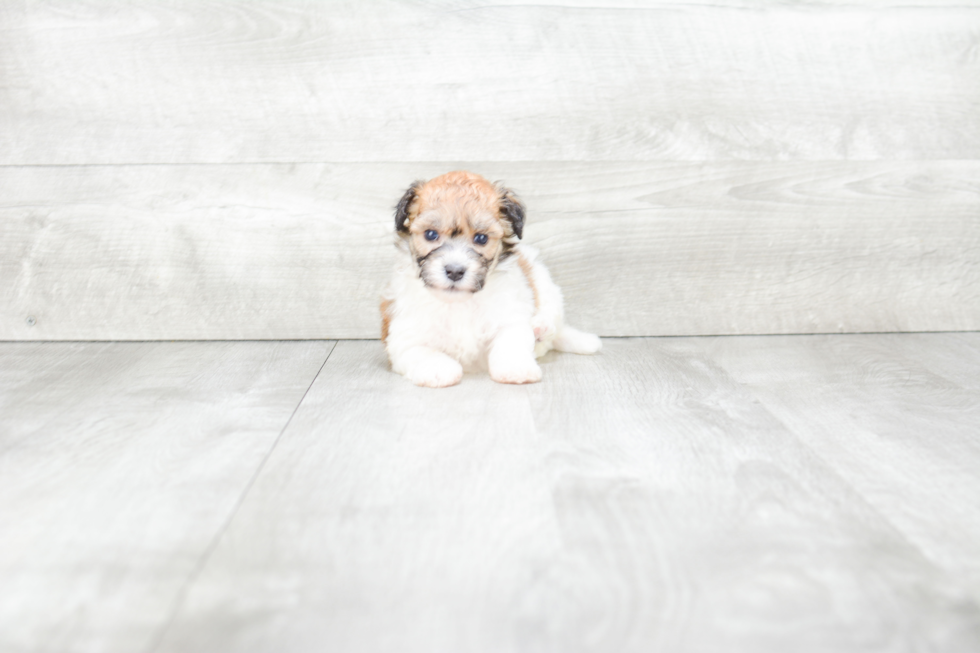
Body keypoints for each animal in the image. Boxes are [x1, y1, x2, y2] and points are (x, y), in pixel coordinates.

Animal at [378, 172, 600, 388]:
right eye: (431, 234)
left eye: (481, 238)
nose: (455, 271)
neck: (459, 302)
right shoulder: (405, 335)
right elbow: (420, 351)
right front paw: (438, 369)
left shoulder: (509, 315)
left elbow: (510, 340)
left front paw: (515, 368)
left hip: (542, 280)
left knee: (551, 322)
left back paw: (540, 327)